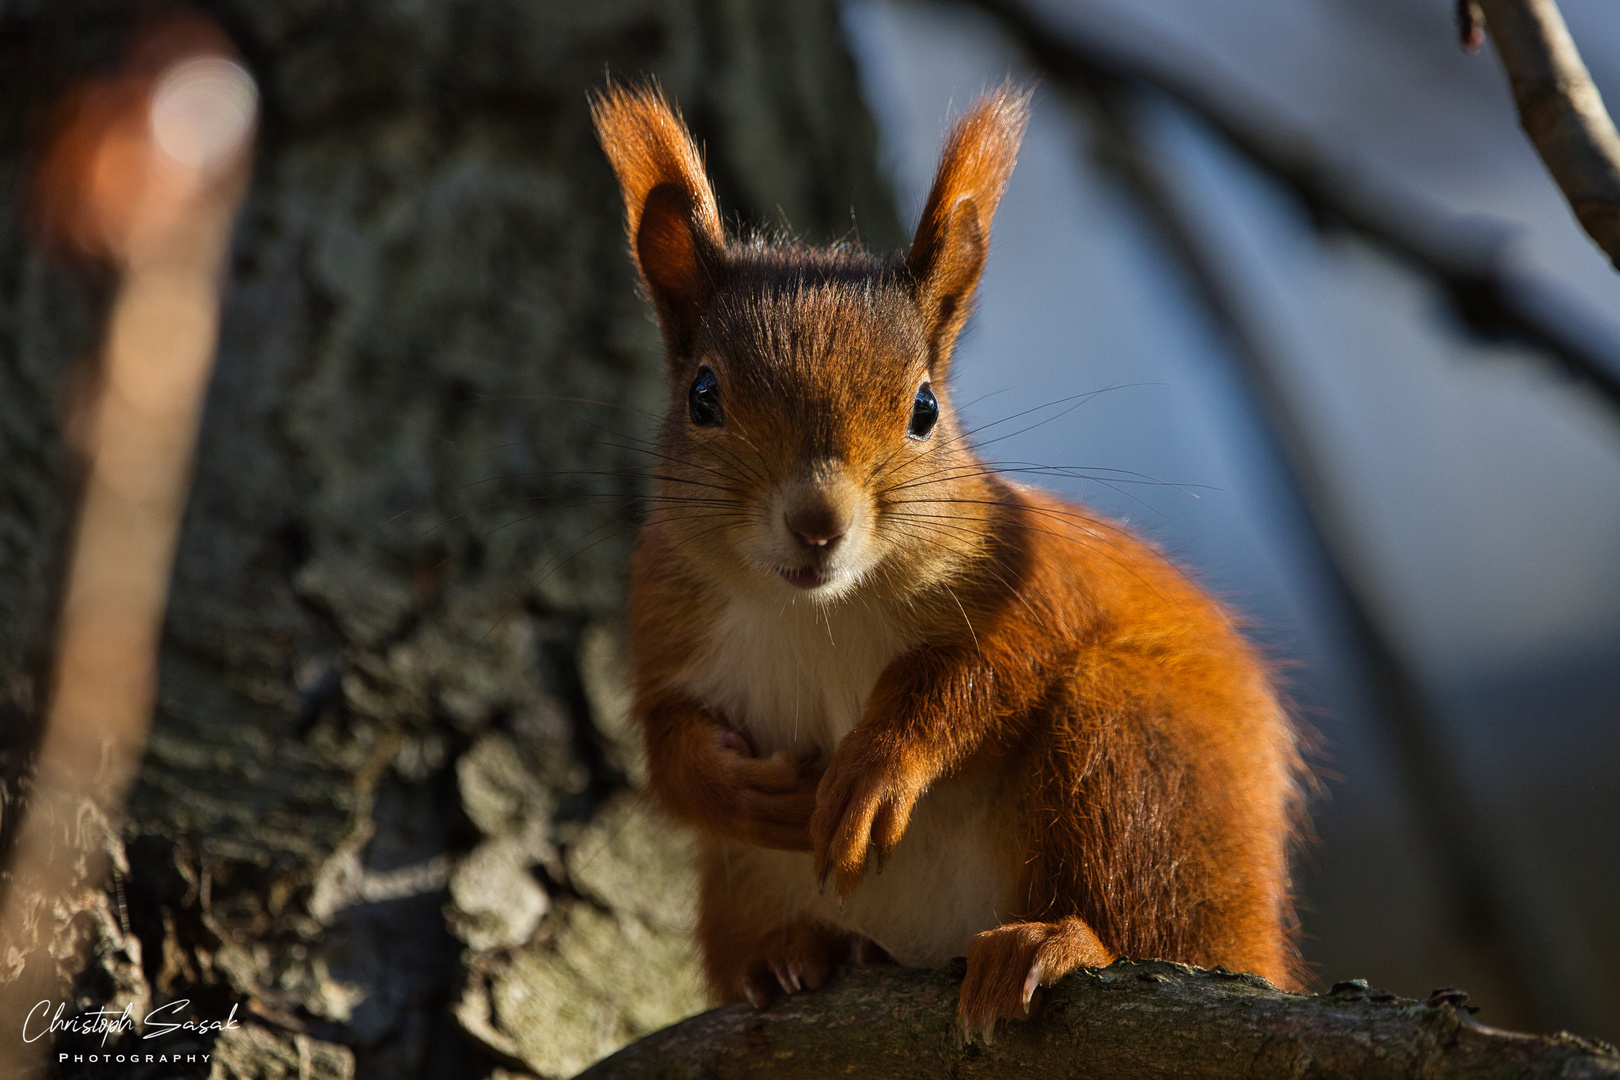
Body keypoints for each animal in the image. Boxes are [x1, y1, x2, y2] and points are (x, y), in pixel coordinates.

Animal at [596, 82, 1302, 1036]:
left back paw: (1056, 942)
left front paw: (878, 768)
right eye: (704, 396)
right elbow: (668, 748)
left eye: (925, 409)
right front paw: (739, 789)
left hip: (1135, 760)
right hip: (740, 888)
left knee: (1148, 919)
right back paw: (796, 953)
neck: (817, 609)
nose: (817, 522)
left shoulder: (1023, 576)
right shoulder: (668, 616)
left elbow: (987, 670)